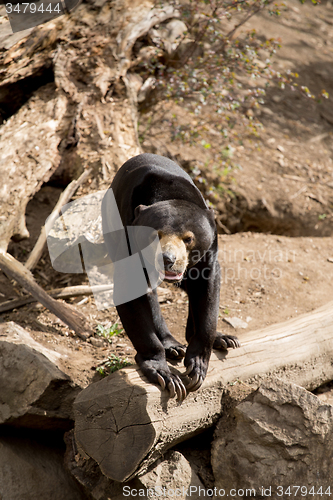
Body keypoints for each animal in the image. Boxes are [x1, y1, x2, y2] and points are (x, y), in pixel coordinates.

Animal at [101, 151, 239, 398]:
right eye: (153, 235)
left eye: (188, 238)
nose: (167, 259)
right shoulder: (127, 240)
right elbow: (131, 294)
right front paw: (164, 374)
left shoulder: (209, 251)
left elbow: (208, 293)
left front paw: (197, 366)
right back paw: (172, 347)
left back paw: (222, 339)